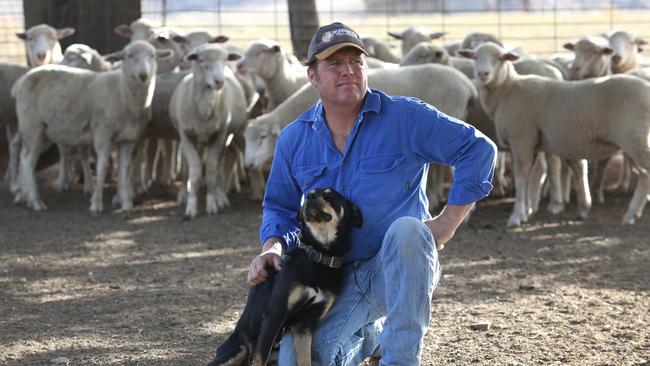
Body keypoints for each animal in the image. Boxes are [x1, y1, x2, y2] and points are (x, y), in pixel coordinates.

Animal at [13, 40, 173, 213]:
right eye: (129, 55)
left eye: (153, 56)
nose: (143, 75)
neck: (122, 91)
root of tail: (23, 79)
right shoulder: (102, 133)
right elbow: (102, 167)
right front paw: (96, 203)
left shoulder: (127, 139)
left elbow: (125, 169)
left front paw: (126, 204)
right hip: (32, 126)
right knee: (27, 161)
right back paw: (35, 201)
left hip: (41, 131)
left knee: (25, 158)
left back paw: (26, 197)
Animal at [168, 44, 247, 219]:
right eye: (202, 60)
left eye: (224, 60)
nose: (219, 81)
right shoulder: (186, 136)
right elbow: (195, 170)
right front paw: (191, 206)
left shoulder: (219, 135)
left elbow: (211, 168)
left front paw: (212, 203)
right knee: (187, 164)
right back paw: (184, 193)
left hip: (224, 137)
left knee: (220, 163)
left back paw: (221, 195)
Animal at [208, 189, 362, 366]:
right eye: (310, 193)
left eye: (332, 195)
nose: (309, 196)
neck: (319, 256)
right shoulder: (275, 315)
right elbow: (261, 359)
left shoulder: (304, 326)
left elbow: (306, 361)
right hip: (238, 351)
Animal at [456, 42, 648, 226]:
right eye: (475, 57)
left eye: (500, 58)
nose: (483, 74)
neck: (508, 90)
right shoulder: (532, 145)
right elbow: (528, 178)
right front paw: (525, 213)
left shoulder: (521, 140)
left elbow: (521, 177)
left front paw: (516, 216)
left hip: (635, 137)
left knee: (645, 173)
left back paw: (631, 213)